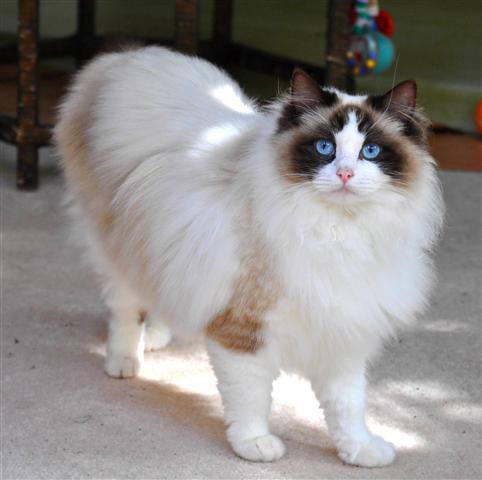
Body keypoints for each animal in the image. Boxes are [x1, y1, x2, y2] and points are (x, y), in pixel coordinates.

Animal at [54, 47, 442, 466]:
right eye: (325, 148)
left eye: (371, 151)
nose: (345, 174)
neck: (338, 232)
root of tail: (123, 57)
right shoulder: (244, 330)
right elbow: (251, 399)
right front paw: (255, 446)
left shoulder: (342, 328)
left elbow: (348, 406)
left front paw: (359, 450)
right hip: (118, 248)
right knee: (126, 311)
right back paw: (126, 362)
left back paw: (156, 336)